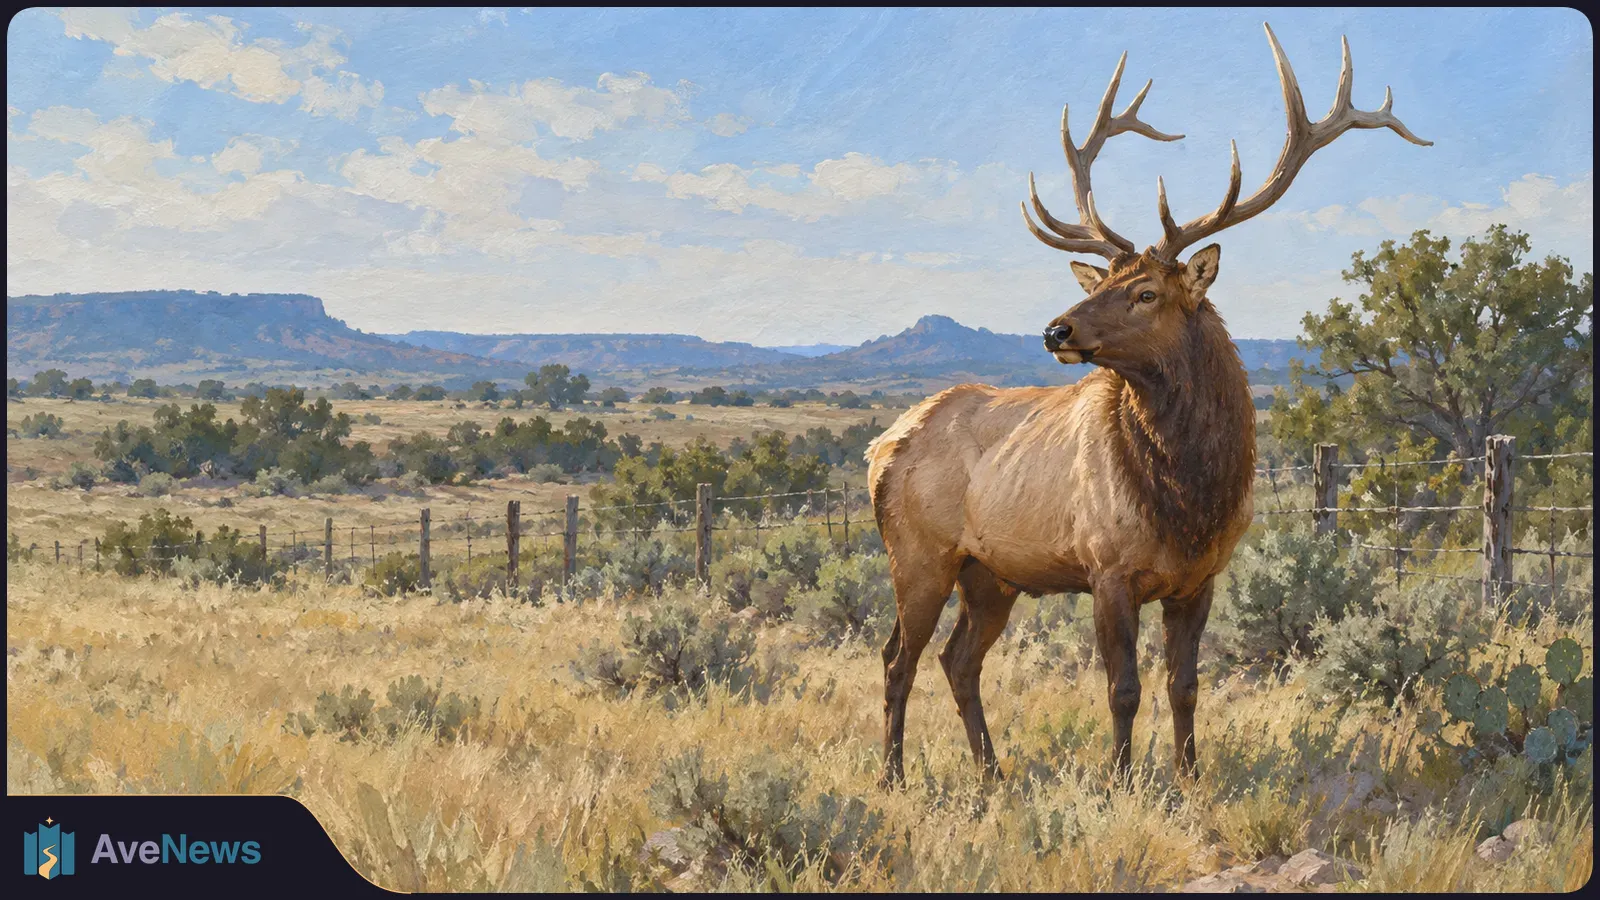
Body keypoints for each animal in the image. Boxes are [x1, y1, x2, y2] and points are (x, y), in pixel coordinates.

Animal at [866, 23, 1429, 788]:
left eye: (1145, 292)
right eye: (1103, 279)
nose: (1056, 329)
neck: (1189, 500)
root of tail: (879, 447)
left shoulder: (1201, 578)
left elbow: (1184, 685)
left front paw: (1189, 779)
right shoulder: (1107, 567)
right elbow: (1123, 689)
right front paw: (1120, 782)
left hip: (991, 573)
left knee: (958, 661)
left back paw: (993, 775)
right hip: (918, 552)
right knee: (898, 657)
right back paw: (893, 776)